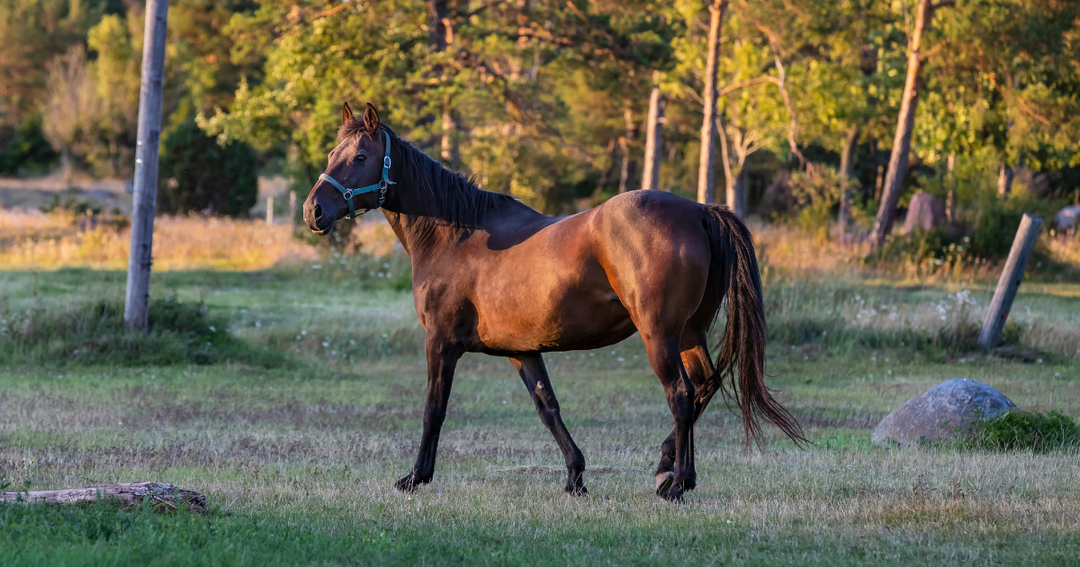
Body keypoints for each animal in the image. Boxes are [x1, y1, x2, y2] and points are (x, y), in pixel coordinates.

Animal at [303, 103, 805, 501]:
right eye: (332, 156)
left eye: (361, 157)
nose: (314, 211)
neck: (457, 234)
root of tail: (699, 211)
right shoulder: (522, 351)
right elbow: (548, 407)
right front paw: (575, 477)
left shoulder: (441, 344)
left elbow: (434, 409)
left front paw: (415, 477)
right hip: (690, 333)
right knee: (704, 386)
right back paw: (667, 468)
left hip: (660, 336)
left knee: (681, 395)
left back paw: (678, 484)